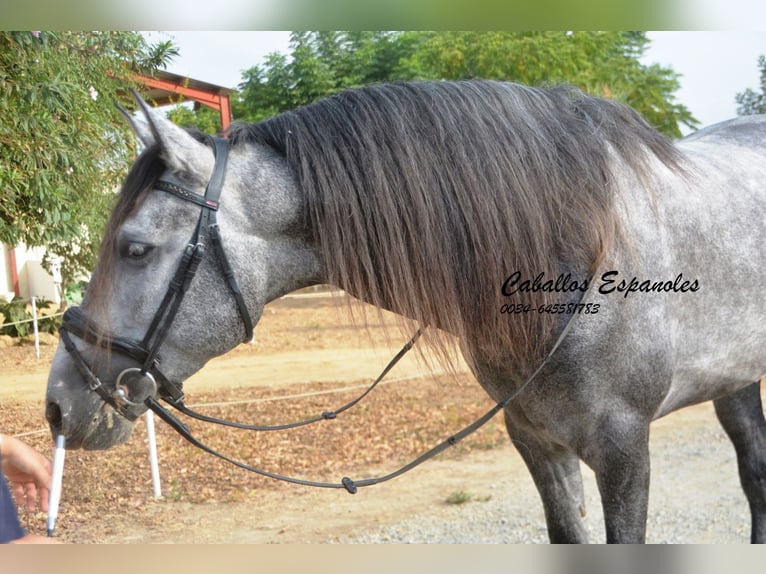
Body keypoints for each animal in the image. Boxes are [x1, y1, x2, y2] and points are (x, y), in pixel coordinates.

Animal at [44, 81, 766, 544]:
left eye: (135, 248)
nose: (60, 402)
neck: (572, 252)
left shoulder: (624, 450)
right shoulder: (536, 440)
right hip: (734, 381)